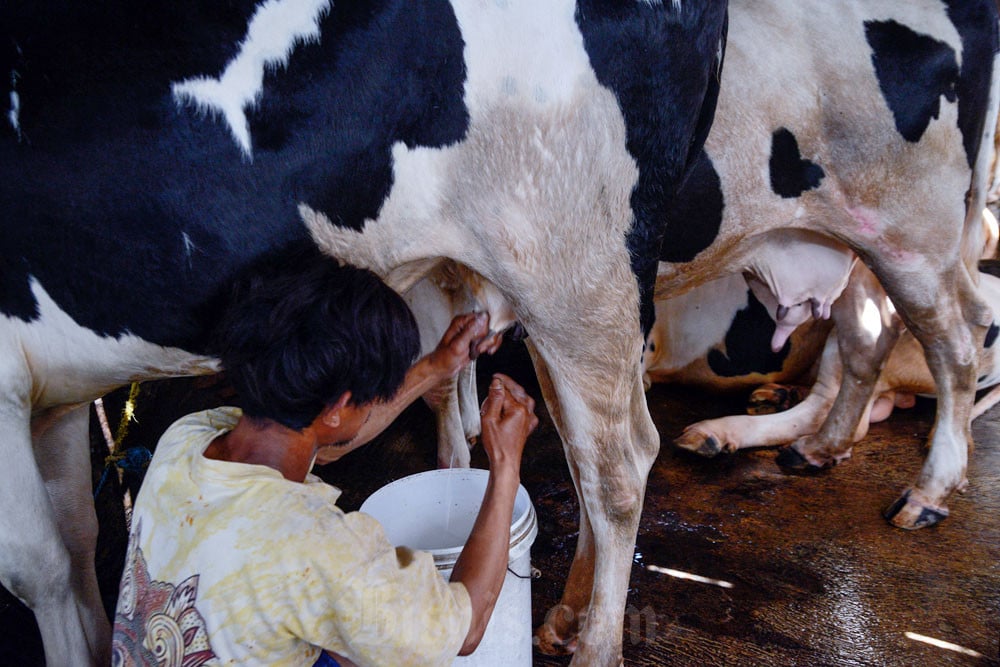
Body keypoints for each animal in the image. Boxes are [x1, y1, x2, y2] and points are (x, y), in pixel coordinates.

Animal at [0, 1, 728, 667]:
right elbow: (76, 533)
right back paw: (568, 614)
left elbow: (36, 566)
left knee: (619, 470)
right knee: (586, 452)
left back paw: (596, 646)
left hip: (576, 275)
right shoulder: (53, 395)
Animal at [656, 0, 992, 532]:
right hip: (859, 244)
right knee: (873, 339)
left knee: (953, 342)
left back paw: (927, 492)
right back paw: (813, 447)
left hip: (914, 235)